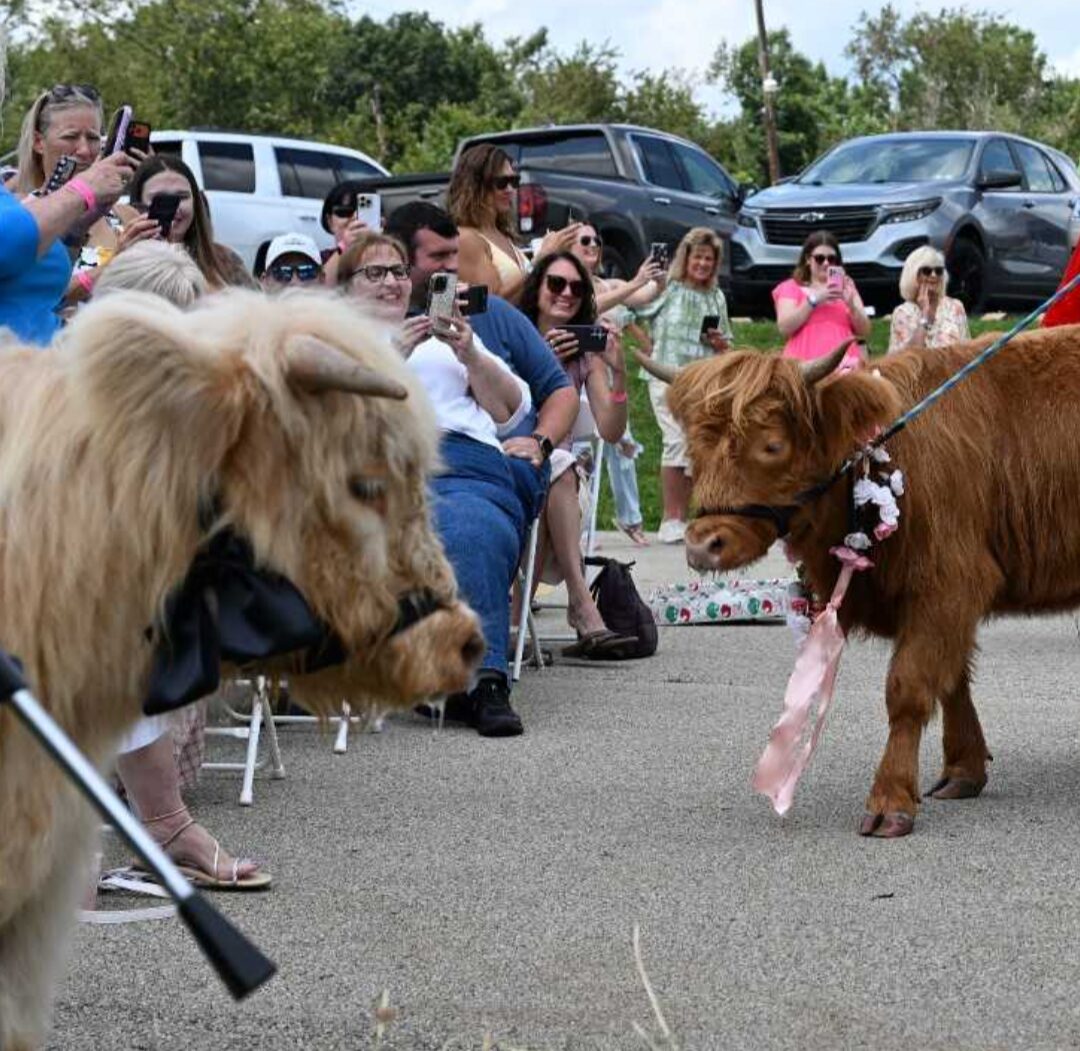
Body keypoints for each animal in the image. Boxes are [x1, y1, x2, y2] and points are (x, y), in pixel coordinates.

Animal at [640, 325, 1080, 839]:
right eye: (693, 449)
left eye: (772, 445)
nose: (703, 545)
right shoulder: (946, 603)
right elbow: (952, 680)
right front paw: (964, 770)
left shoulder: (946, 584)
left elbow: (909, 688)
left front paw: (891, 800)